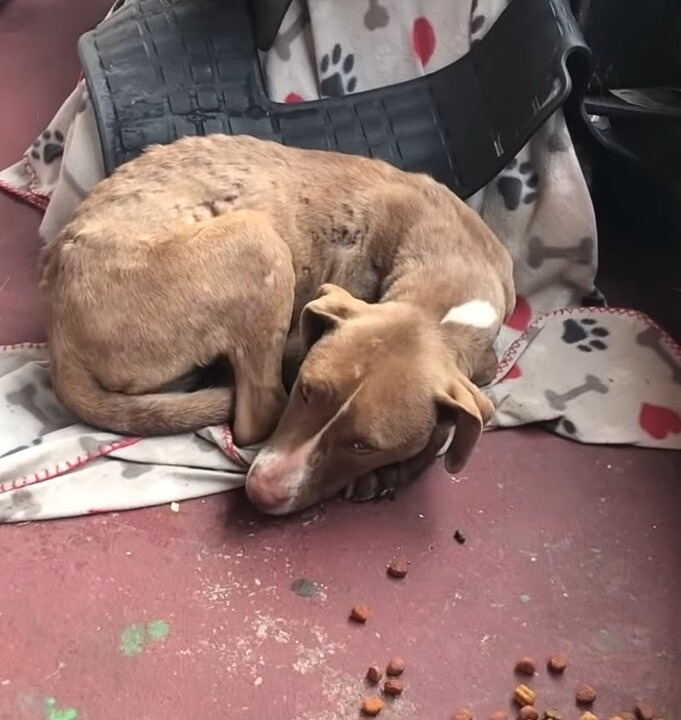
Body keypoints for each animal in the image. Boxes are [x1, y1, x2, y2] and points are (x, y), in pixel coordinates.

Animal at [39, 135, 512, 516]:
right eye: (307, 390)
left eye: (364, 445)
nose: (263, 492)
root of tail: (58, 337)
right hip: (258, 241)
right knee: (258, 414)